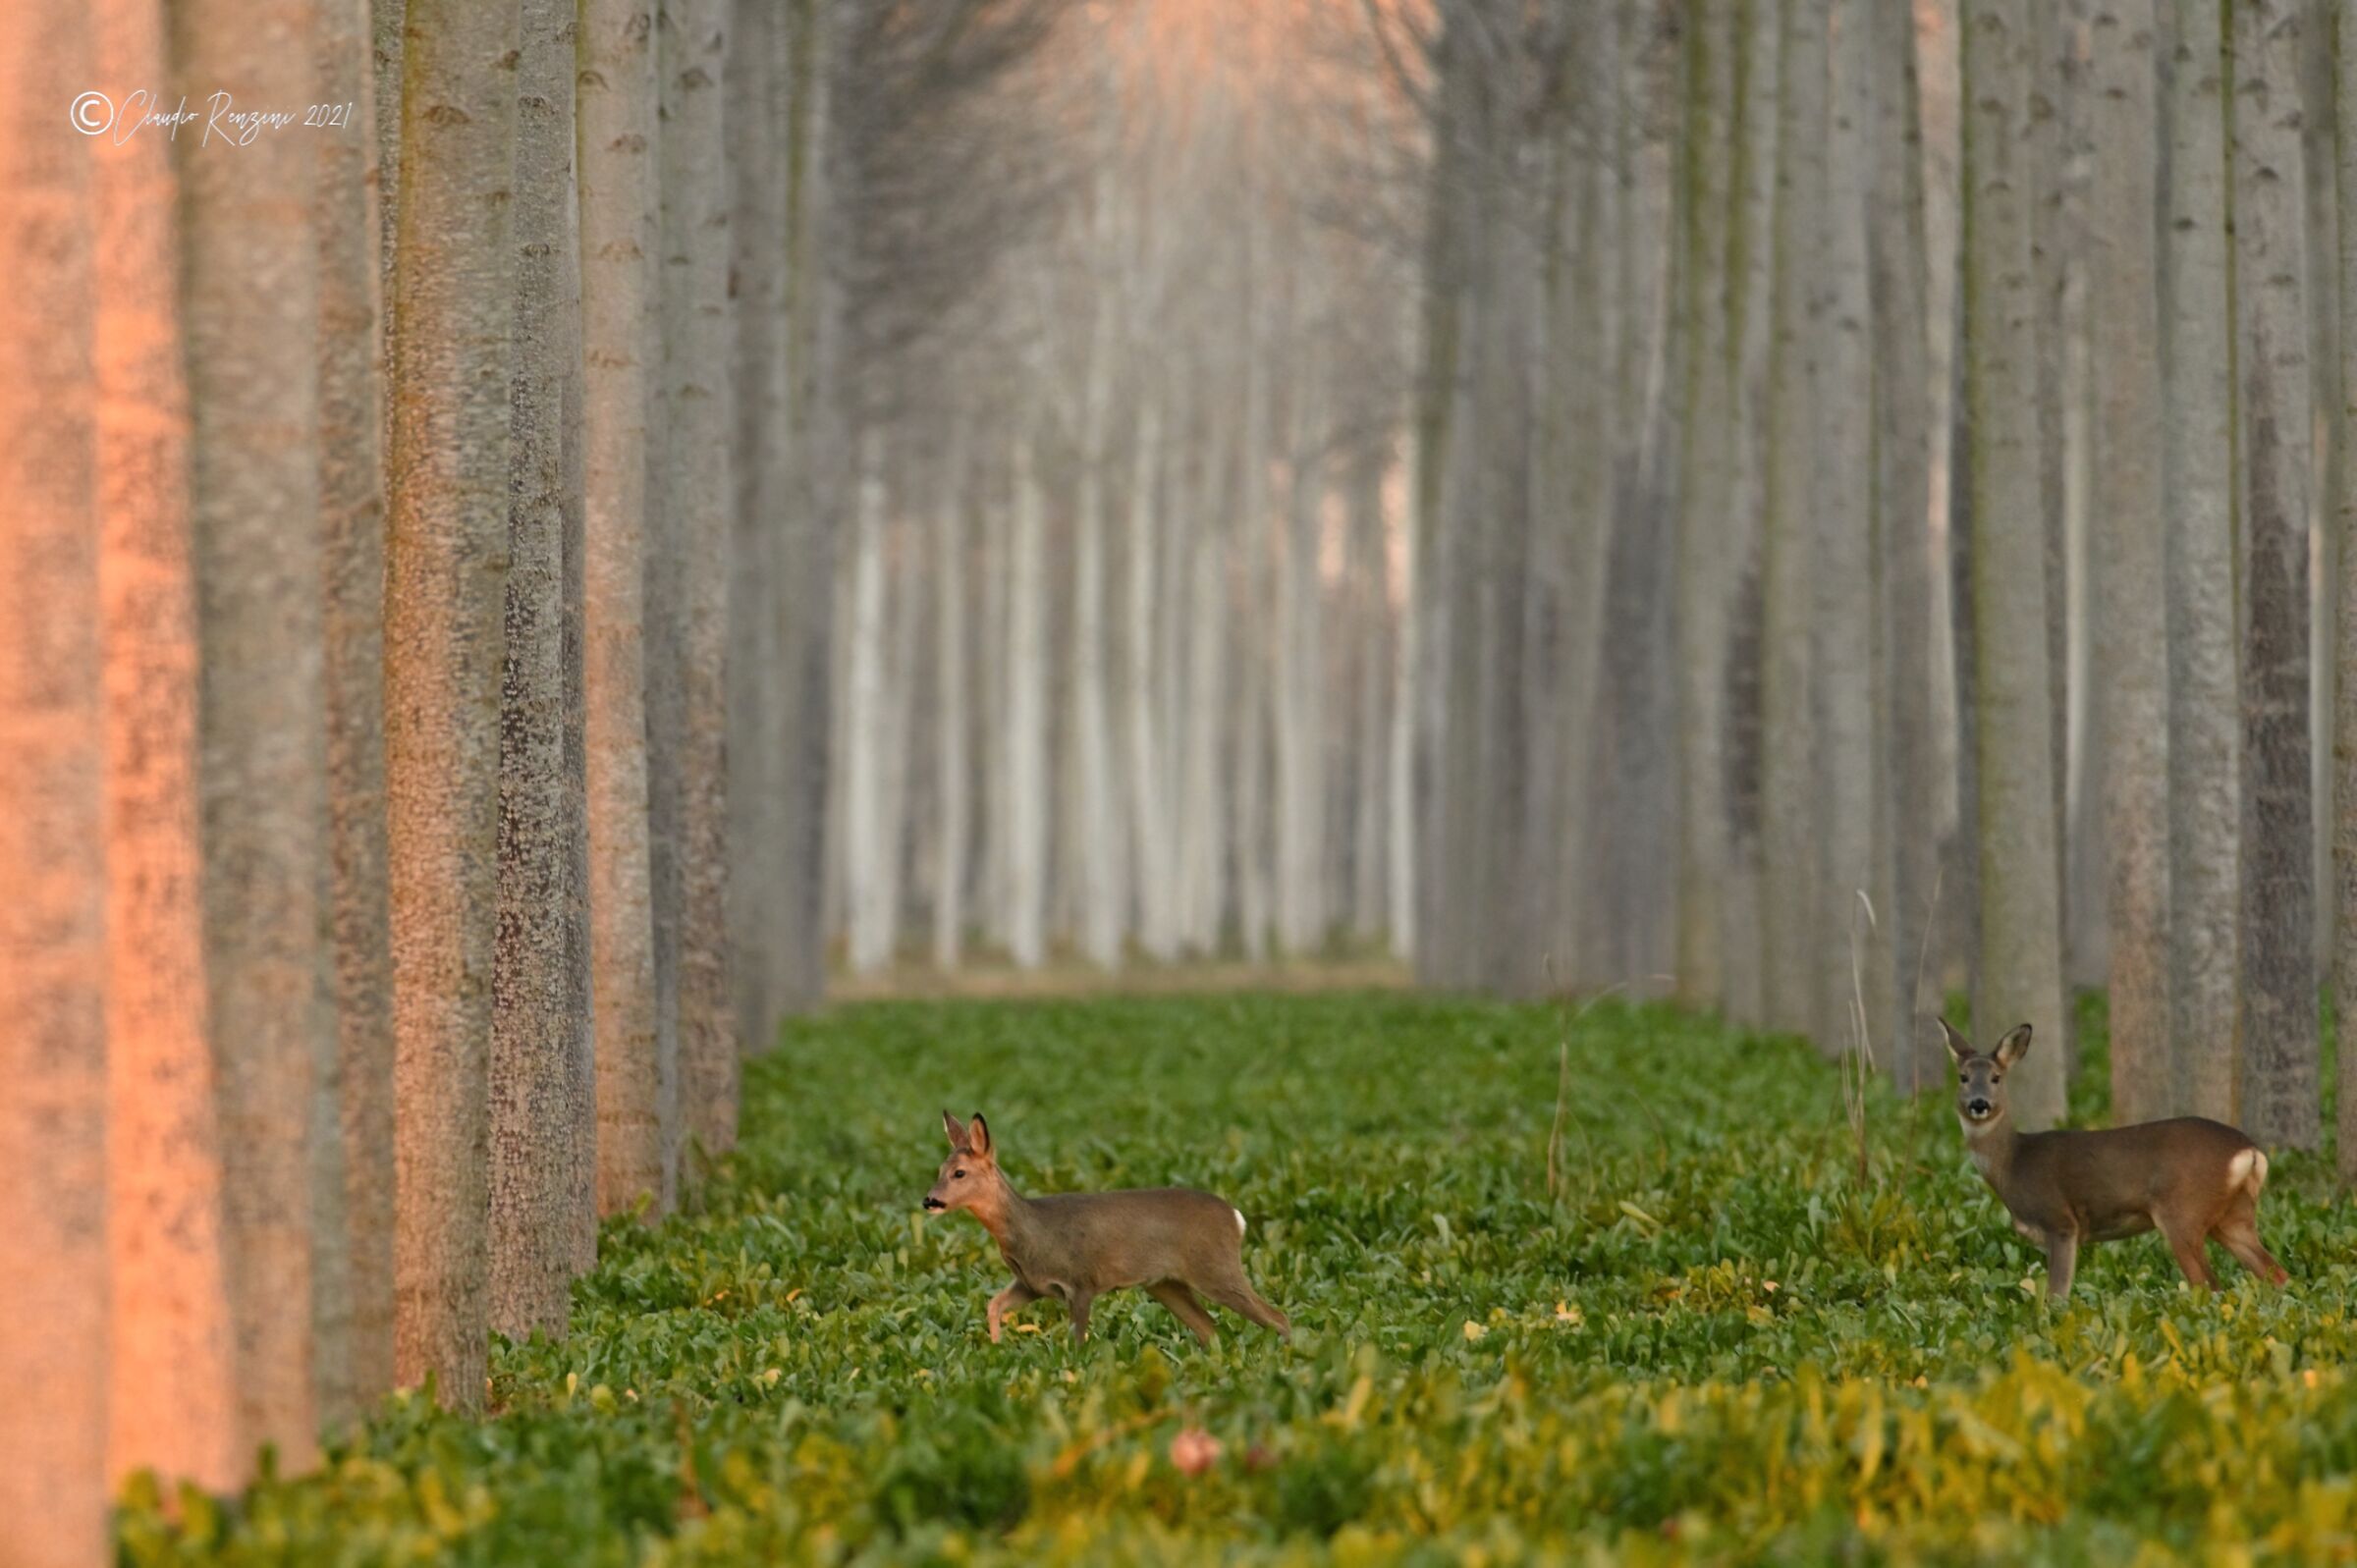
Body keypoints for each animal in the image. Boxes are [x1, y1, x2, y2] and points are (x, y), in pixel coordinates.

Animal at [922, 1111, 1292, 1347]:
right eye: (939, 1169)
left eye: (959, 1173)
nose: (930, 1200)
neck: (1032, 1228)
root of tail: (1236, 1217)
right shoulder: (1031, 1283)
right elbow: (994, 1304)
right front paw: (996, 1347)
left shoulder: (1081, 1280)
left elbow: (1077, 1341)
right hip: (1166, 1283)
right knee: (1210, 1329)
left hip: (1215, 1267)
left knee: (1277, 1316)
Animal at [1940, 1019, 2288, 1300]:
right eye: (1963, 1077)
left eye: (1996, 1077)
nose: (1979, 1104)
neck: (2014, 1162)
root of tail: (2250, 1152)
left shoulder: (2061, 1221)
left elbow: (2057, 1296)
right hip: (2233, 1216)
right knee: (2276, 1273)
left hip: (2183, 1212)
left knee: (2210, 1285)